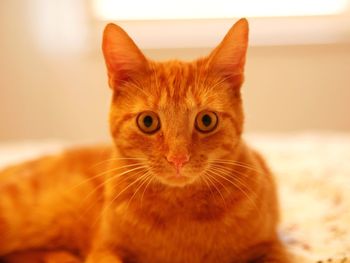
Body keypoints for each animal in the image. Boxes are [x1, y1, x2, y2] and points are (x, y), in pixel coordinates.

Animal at [0, 18, 290, 262]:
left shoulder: (271, 247)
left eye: (206, 120)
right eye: (148, 122)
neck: (181, 212)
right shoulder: (105, 250)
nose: (178, 158)